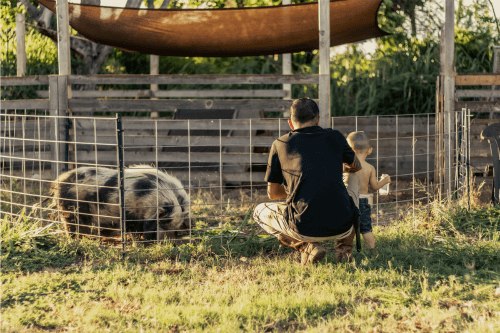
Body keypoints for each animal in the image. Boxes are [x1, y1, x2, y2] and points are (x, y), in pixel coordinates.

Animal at [38, 165, 190, 239]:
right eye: (162, 222)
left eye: (175, 228)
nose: (165, 240)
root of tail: (57, 182)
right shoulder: (129, 212)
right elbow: (132, 228)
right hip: (69, 209)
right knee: (71, 226)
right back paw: (77, 239)